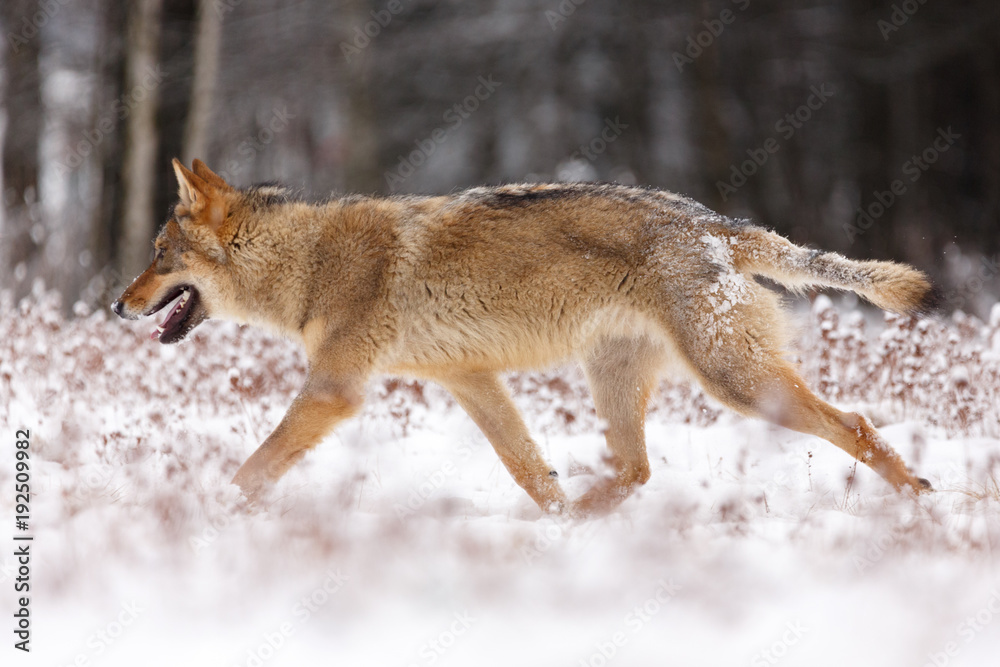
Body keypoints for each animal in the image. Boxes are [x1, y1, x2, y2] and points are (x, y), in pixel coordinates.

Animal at [112, 159, 935, 515]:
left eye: (158, 255)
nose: (117, 305)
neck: (309, 264)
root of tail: (720, 225)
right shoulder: (471, 381)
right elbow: (529, 472)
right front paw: (552, 523)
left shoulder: (335, 391)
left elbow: (253, 468)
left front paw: (198, 513)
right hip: (618, 384)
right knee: (637, 471)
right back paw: (588, 516)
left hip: (736, 384)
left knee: (857, 423)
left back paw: (920, 502)